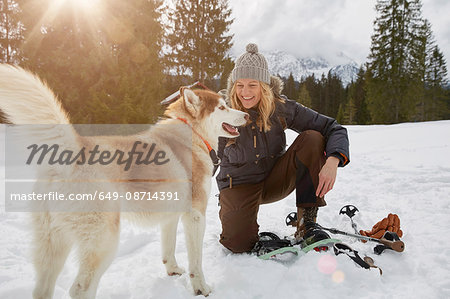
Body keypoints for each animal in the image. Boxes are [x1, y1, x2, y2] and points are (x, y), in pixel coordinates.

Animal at [0, 64, 248, 298]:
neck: (191, 134)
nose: (246, 115)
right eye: (222, 107)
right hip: (105, 241)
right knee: (80, 289)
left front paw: (173, 270)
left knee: (42, 289)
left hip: (53, 245)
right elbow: (196, 263)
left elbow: (168, 249)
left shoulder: (170, 216)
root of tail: (72, 149)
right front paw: (201, 289)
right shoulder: (195, 215)